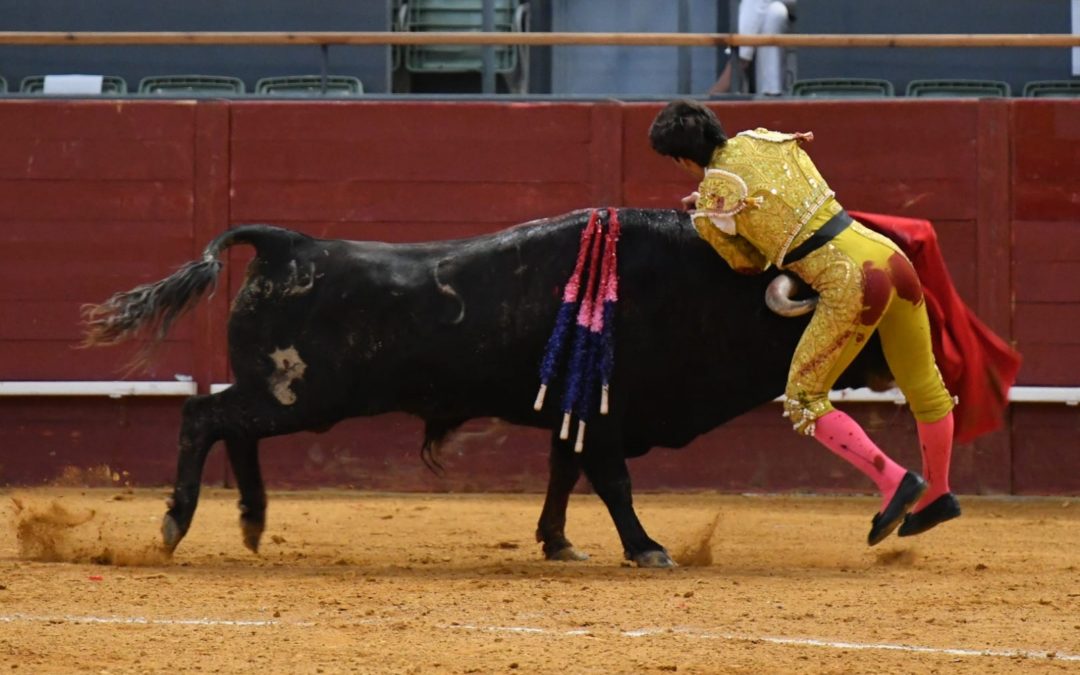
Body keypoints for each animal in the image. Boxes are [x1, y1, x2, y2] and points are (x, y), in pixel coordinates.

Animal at [84, 208, 889, 565]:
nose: (888, 366)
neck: (697, 286)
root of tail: (285, 243)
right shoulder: (602, 416)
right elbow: (612, 481)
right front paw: (646, 549)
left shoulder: (575, 414)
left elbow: (564, 474)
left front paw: (558, 543)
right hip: (297, 394)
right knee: (201, 414)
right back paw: (175, 524)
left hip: (285, 395)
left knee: (231, 427)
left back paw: (252, 521)